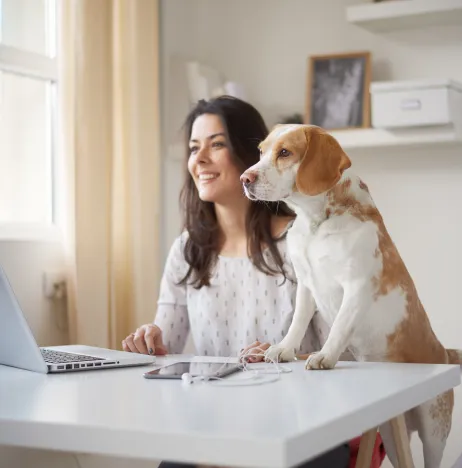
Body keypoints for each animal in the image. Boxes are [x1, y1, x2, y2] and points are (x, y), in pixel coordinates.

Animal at [242, 123, 462, 468]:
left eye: (285, 152)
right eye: (261, 151)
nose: (245, 179)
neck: (316, 222)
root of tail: (446, 353)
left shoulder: (356, 285)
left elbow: (339, 328)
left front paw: (324, 357)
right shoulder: (306, 285)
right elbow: (297, 324)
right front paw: (284, 349)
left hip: (433, 434)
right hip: (391, 434)